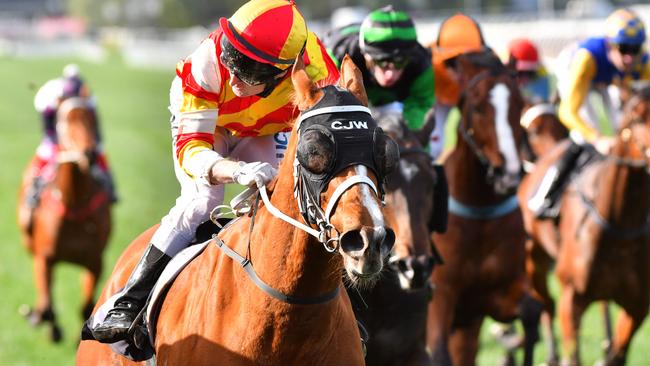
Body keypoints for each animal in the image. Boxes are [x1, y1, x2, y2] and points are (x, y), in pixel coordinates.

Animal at [15, 98, 111, 344]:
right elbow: (47, 306)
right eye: (64, 121)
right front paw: (47, 325)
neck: (73, 203)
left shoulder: (95, 261)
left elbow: (86, 307)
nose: (90, 152)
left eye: (92, 117)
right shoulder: (44, 257)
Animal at [422, 52, 540, 366]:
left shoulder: (486, 301)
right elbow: (437, 351)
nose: (508, 175)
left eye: (519, 105)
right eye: (476, 108)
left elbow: (531, 311)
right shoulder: (439, 298)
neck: (480, 215)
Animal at [520, 84, 650, 364]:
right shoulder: (572, 299)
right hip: (533, 259)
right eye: (635, 117)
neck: (621, 223)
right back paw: (551, 353)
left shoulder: (637, 305)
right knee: (545, 303)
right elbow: (573, 354)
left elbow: (617, 354)